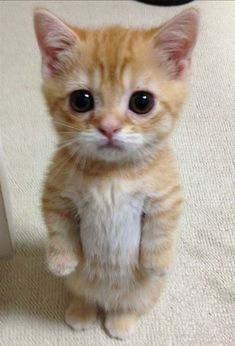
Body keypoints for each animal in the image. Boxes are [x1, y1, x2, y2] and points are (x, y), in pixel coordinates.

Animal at [33, 8, 198, 340]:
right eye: (81, 100)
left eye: (142, 101)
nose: (109, 127)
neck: (111, 175)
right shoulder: (55, 192)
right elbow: (58, 227)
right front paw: (60, 260)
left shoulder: (166, 194)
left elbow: (162, 228)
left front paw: (158, 260)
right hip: (79, 283)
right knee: (83, 293)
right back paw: (81, 311)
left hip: (146, 293)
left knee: (129, 305)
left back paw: (120, 322)